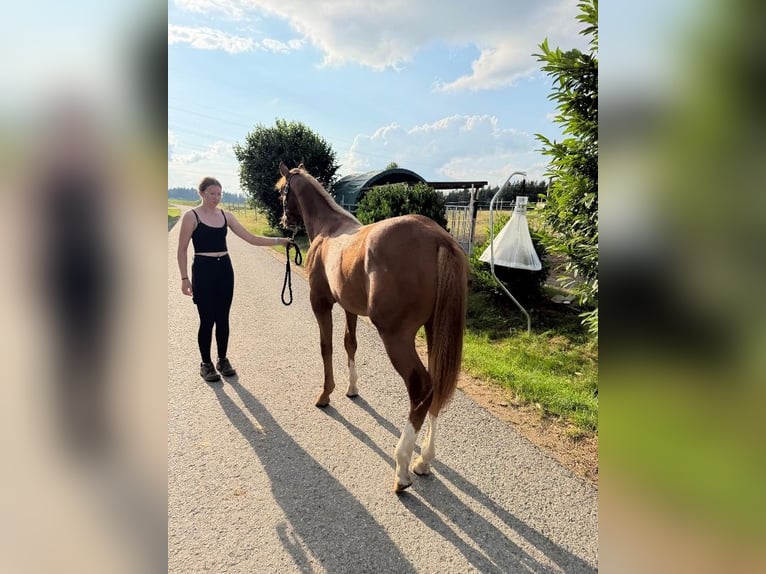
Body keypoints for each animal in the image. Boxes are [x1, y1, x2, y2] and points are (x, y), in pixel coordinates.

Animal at [276, 162, 468, 492]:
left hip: (397, 338)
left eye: (282, 192)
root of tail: (438, 238)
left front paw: (326, 394)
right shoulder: (349, 308)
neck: (329, 229)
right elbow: (349, 343)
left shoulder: (321, 303)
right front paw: (352, 389)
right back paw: (423, 461)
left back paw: (402, 468)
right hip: (434, 331)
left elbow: (326, 347)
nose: (285, 222)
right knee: (437, 385)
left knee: (421, 387)